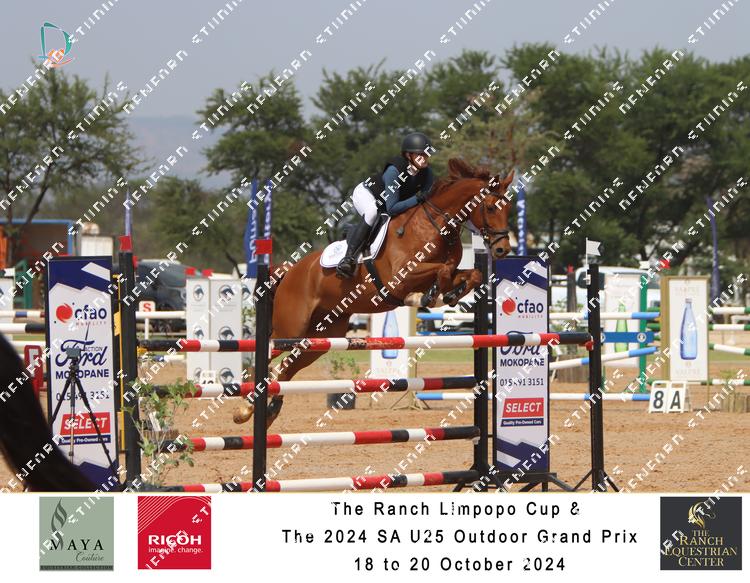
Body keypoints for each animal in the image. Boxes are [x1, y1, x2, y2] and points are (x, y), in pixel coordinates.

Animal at [234, 158, 514, 426]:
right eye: (491, 207)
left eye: (509, 207)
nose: (502, 250)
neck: (435, 225)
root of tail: (289, 270)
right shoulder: (400, 278)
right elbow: (442, 271)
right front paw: (426, 296)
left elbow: (471, 274)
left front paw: (448, 295)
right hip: (291, 328)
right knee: (267, 357)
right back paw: (247, 407)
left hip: (320, 337)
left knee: (287, 368)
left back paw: (266, 411)